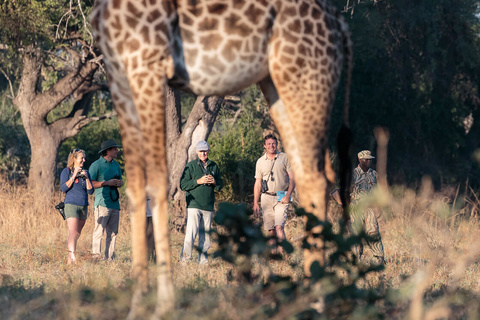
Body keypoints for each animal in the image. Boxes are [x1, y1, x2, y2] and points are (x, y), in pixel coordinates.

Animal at [91, 0, 352, 316]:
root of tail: (339, 25)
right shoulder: (120, 76)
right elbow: (137, 189)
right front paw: (138, 306)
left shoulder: (148, 64)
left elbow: (157, 183)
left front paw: (164, 305)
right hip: (276, 83)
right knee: (312, 174)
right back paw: (308, 298)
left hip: (306, 78)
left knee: (316, 177)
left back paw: (317, 301)